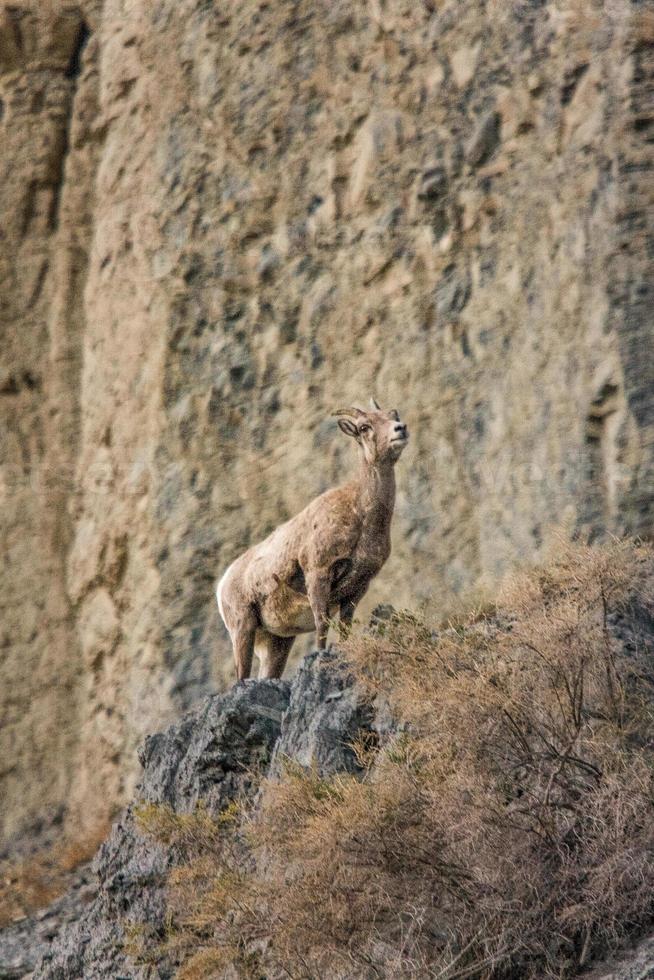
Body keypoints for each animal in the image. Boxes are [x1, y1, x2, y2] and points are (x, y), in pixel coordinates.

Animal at [217, 398, 410, 680]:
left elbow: (344, 630)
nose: (400, 429)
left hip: (277, 644)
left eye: (392, 414)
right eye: (365, 427)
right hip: (243, 629)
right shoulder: (318, 575)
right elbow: (321, 626)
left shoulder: (356, 590)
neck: (361, 515)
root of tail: (222, 585)